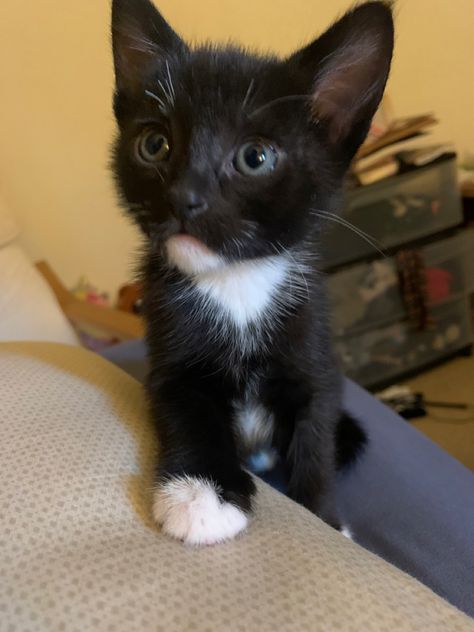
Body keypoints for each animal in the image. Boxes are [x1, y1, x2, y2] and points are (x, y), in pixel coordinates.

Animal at [110, 0, 392, 544]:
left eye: (255, 157)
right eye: (154, 144)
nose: (183, 198)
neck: (236, 282)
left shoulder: (315, 357)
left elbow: (315, 444)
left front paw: (324, 520)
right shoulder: (170, 357)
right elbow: (187, 412)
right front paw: (202, 494)